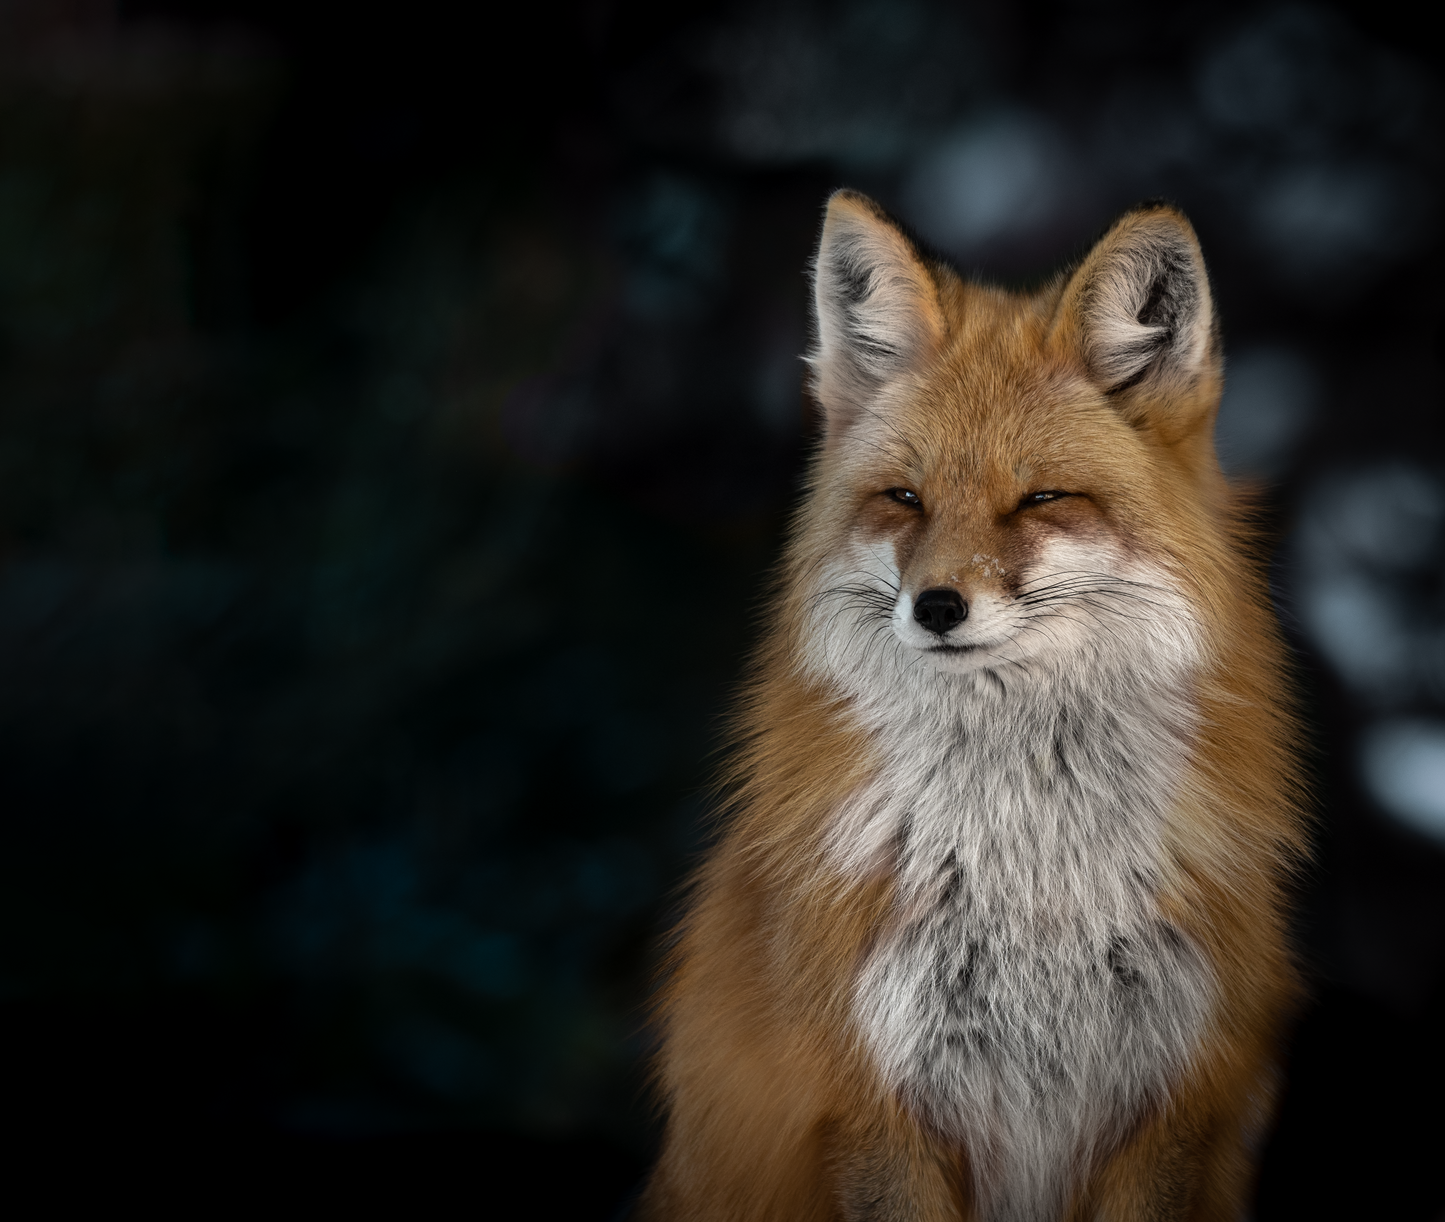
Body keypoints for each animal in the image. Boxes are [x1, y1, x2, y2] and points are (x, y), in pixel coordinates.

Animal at [636, 191, 1306, 1222]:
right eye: (904, 498)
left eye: (1040, 500)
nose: (937, 607)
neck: (1028, 874)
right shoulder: (872, 1101)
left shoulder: (1173, 1102)